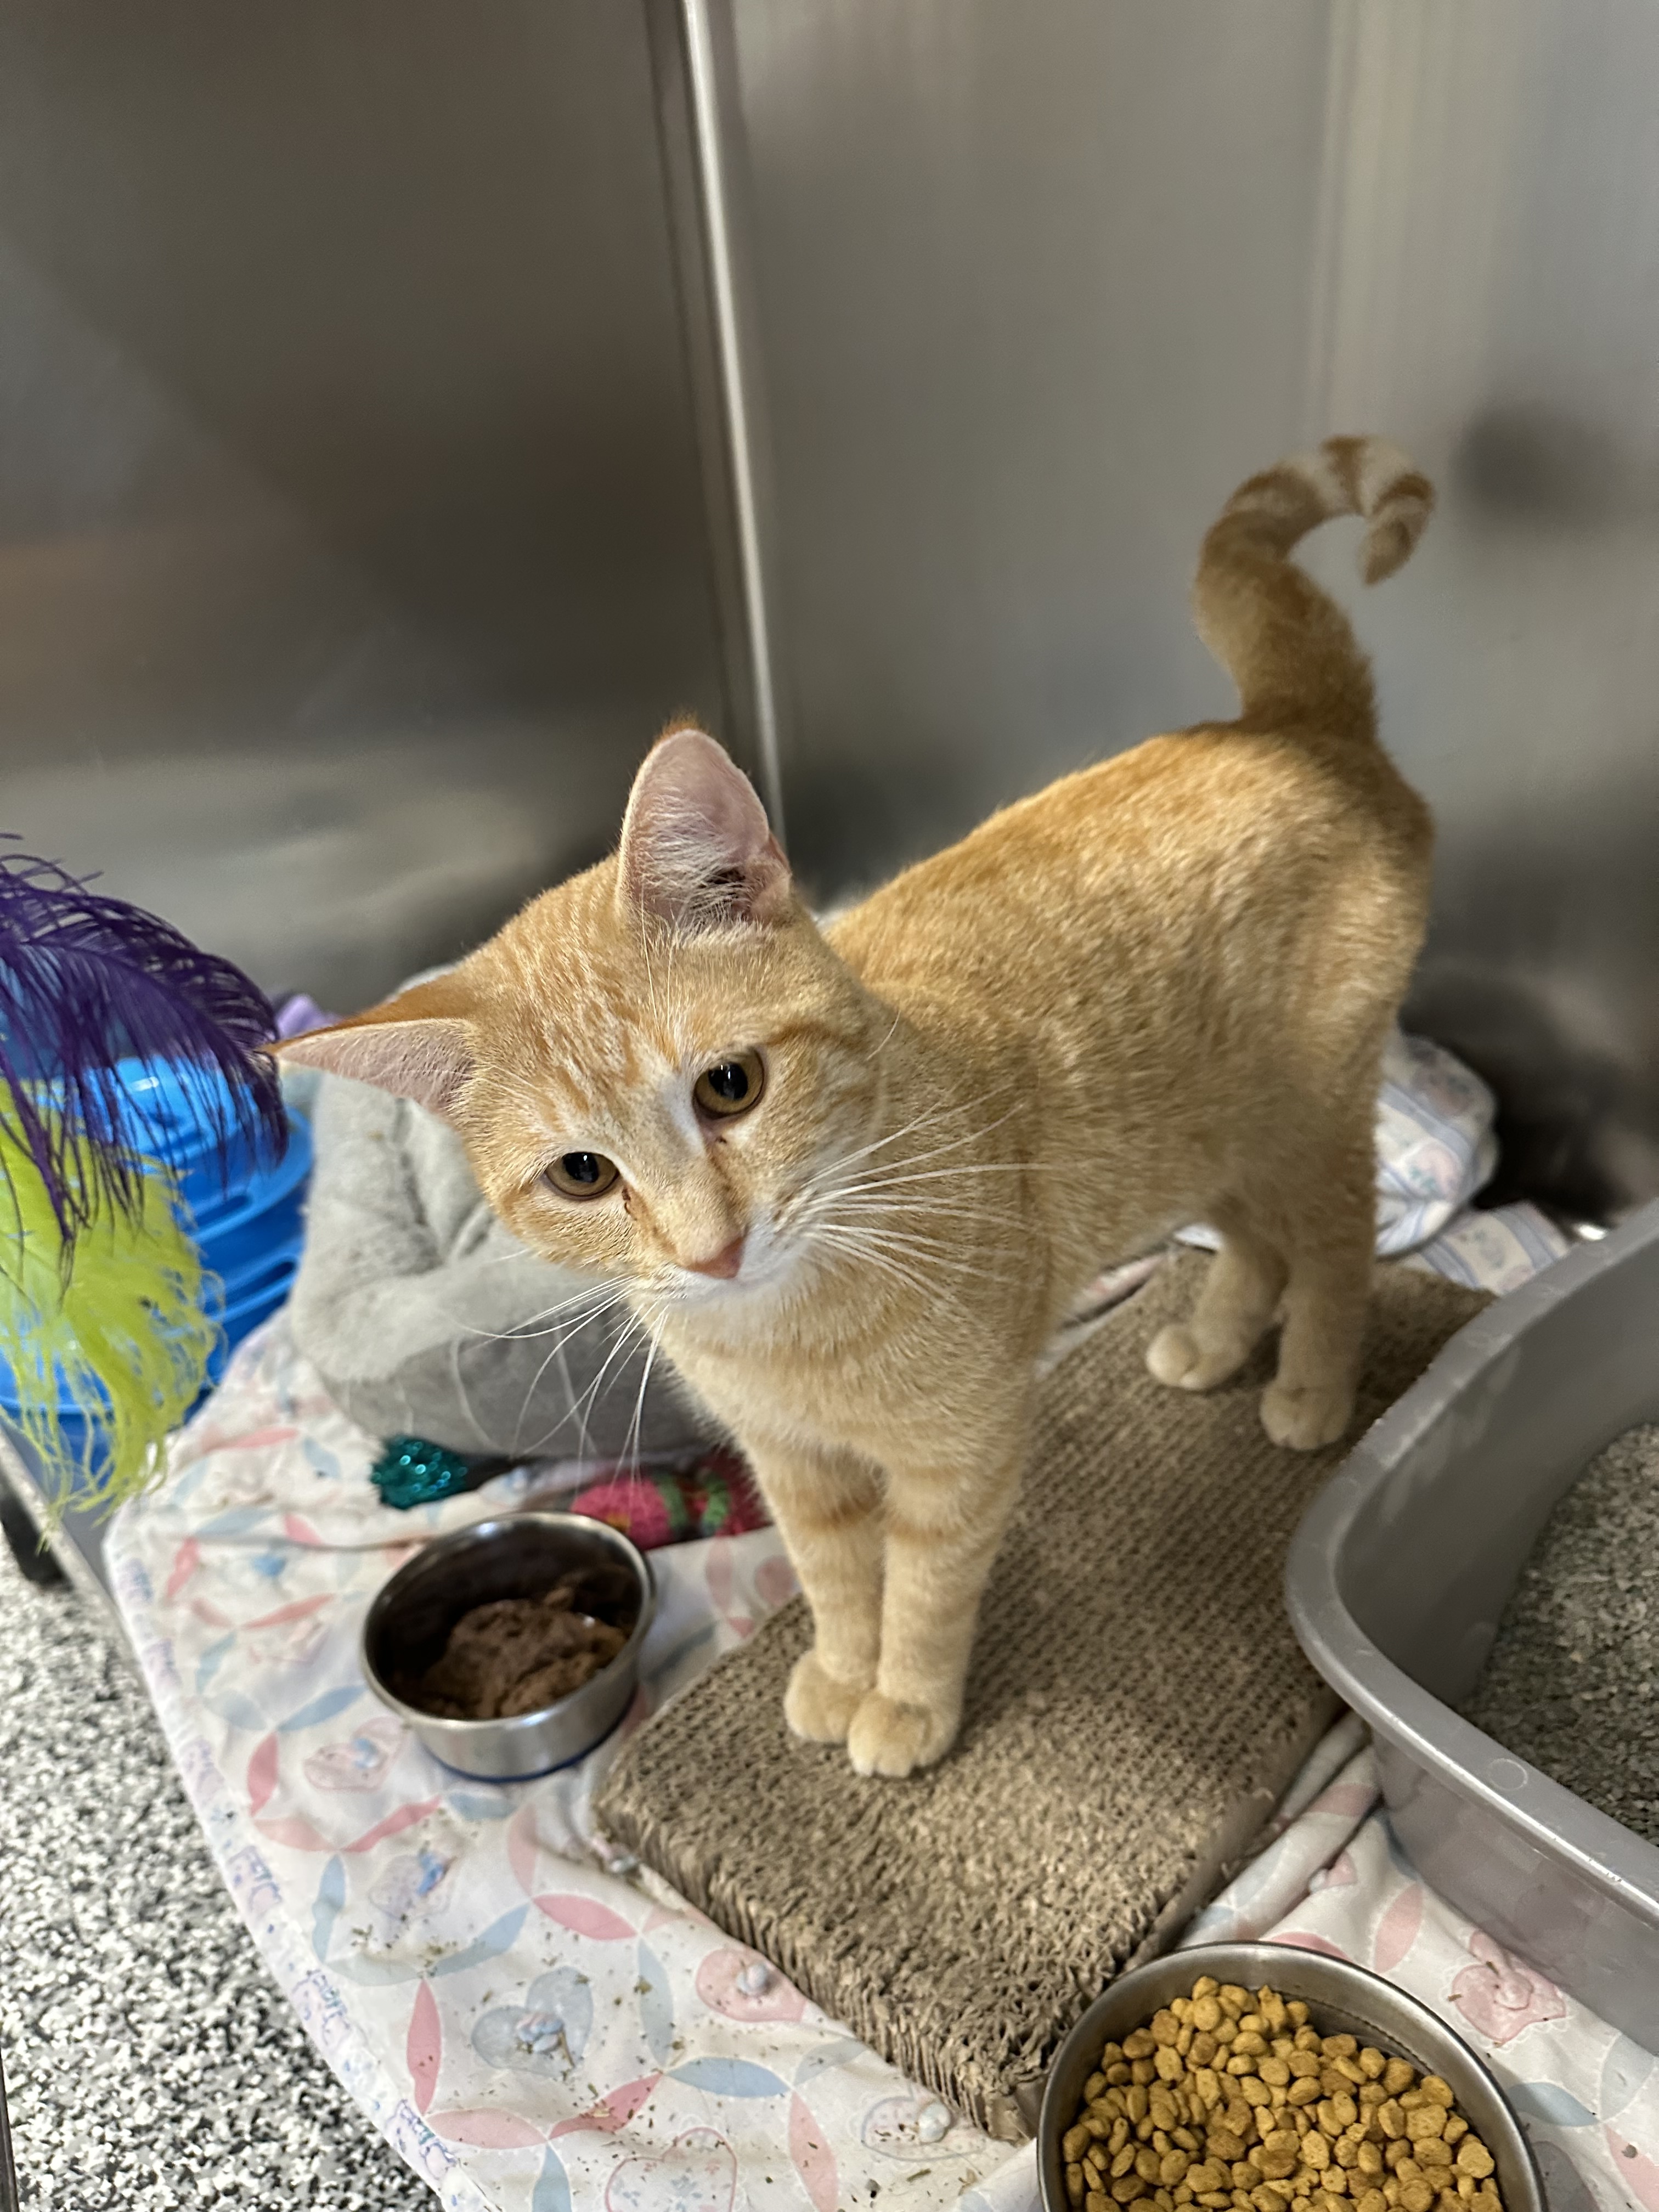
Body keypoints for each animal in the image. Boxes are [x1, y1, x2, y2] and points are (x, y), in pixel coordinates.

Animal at [283, 436, 1433, 1778]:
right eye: (581, 1175)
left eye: (730, 1087)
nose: (712, 1250)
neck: (789, 1330)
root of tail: (1290, 724)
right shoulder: (794, 1466)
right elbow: (835, 1576)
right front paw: (841, 1670)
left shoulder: (957, 1456)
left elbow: (925, 1588)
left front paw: (908, 1702)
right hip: (1206, 1138)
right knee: (1256, 1240)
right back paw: (1212, 1338)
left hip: (1310, 1110)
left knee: (1340, 1242)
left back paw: (1309, 1387)